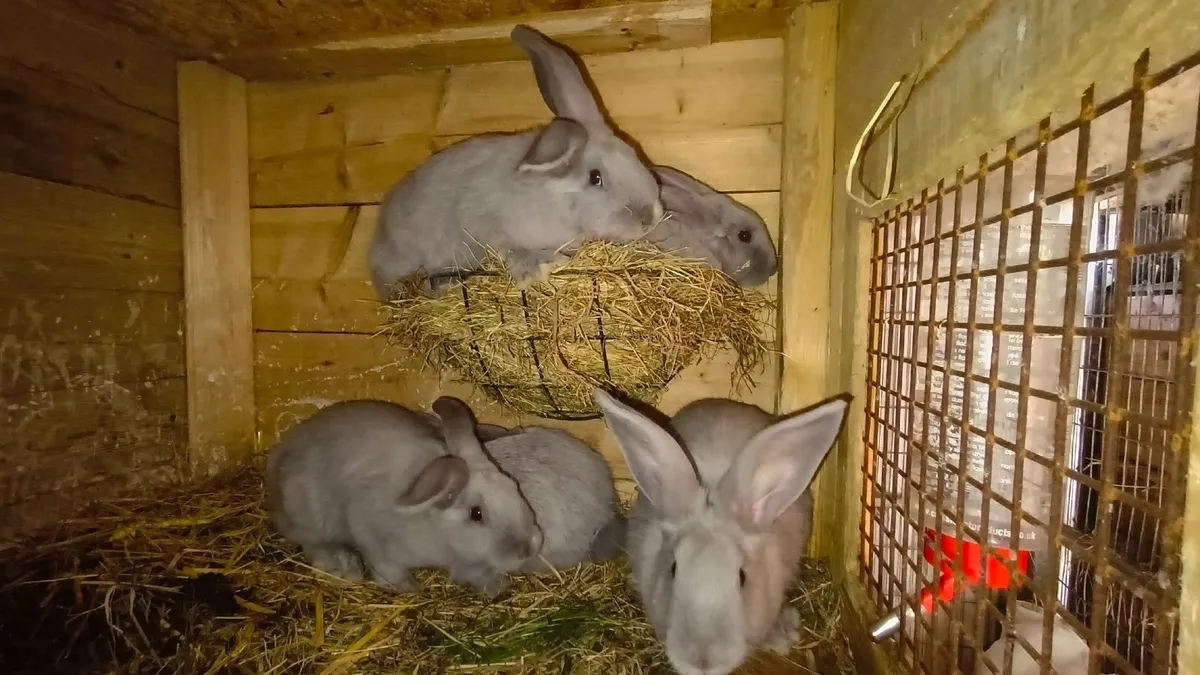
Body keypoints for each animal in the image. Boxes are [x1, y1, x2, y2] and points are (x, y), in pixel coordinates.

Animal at [265, 397, 543, 597]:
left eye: (515, 487)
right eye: (477, 514)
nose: (528, 548)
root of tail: (278, 456)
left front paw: (496, 585)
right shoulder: (369, 530)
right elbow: (386, 564)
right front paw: (408, 587)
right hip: (313, 515)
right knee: (311, 542)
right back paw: (344, 565)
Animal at [369, 24, 664, 299]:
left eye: (635, 152)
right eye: (595, 177)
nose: (649, 217)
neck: (549, 199)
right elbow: (511, 249)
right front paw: (539, 267)